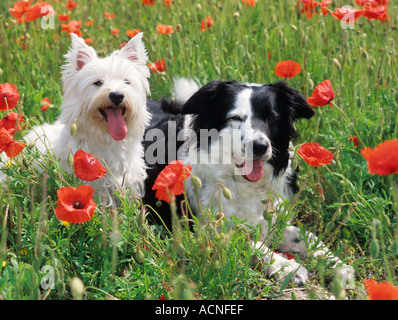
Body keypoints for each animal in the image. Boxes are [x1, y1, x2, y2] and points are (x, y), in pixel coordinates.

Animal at [144, 79, 354, 286]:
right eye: (236, 117)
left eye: (272, 117)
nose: (260, 147)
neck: (241, 182)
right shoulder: (205, 229)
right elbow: (249, 242)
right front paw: (287, 267)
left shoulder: (270, 219)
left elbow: (306, 236)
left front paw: (338, 264)